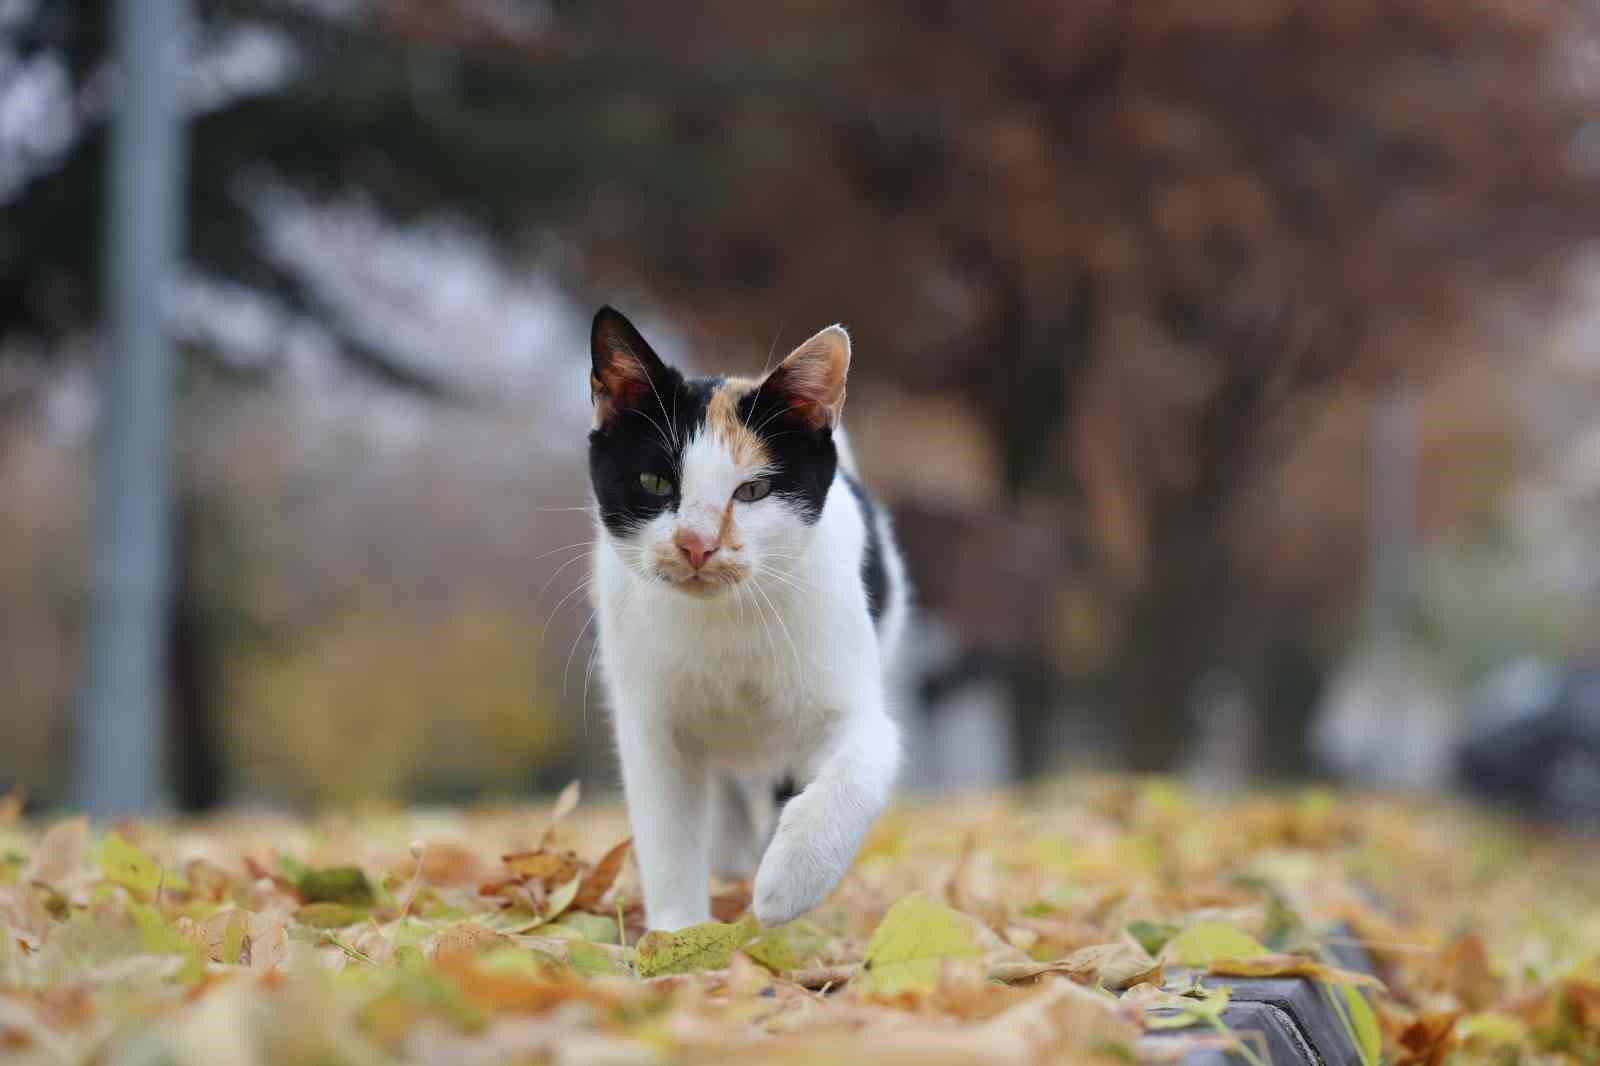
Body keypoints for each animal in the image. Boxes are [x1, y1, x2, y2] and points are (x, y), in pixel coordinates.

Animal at [588, 302, 908, 928]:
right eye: (654, 481)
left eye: (754, 491)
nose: (696, 543)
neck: (725, 623)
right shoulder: (650, 719)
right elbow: (666, 828)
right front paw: (678, 934)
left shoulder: (849, 694)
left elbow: (864, 759)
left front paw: (788, 881)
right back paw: (731, 845)